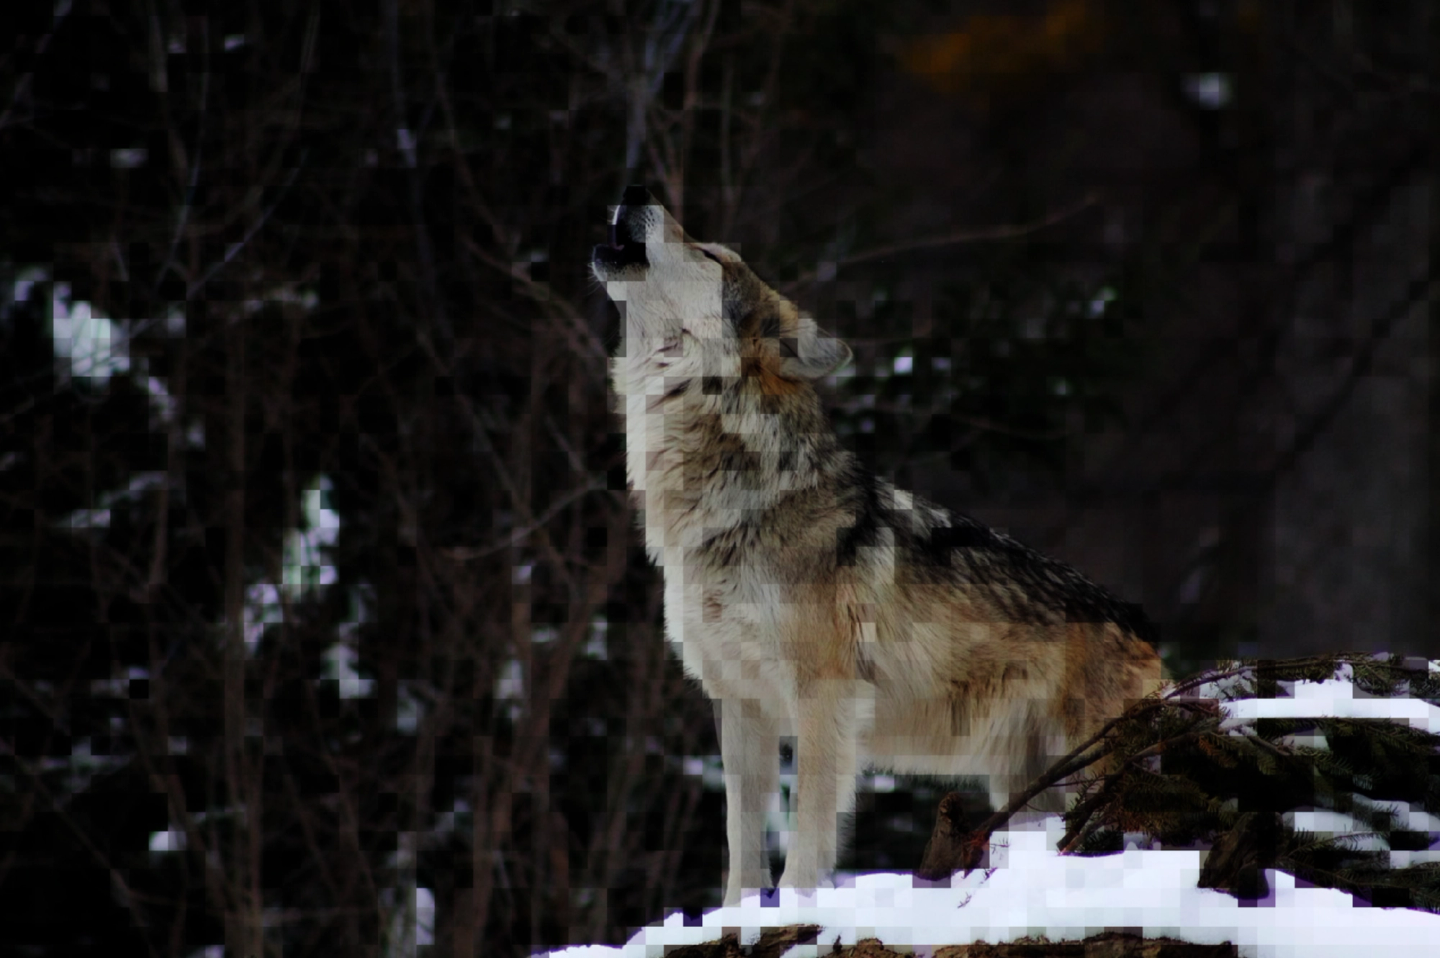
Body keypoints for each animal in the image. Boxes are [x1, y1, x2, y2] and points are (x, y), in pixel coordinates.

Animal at [591, 186, 1163, 905]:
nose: (634, 192)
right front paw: (740, 914)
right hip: (1028, 791)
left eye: (711, 253)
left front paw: (796, 908)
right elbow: (741, 841)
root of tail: (1143, 628)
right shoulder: (739, 704)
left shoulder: (825, 698)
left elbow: (808, 832)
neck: (731, 503)